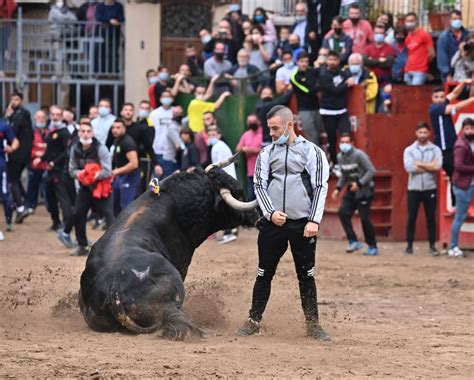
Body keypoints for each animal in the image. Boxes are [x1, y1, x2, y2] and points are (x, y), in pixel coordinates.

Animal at [80, 166, 260, 338]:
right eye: (239, 194)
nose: (256, 217)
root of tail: (115, 286)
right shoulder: (182, 265)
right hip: (173, 290)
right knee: (174, 317)